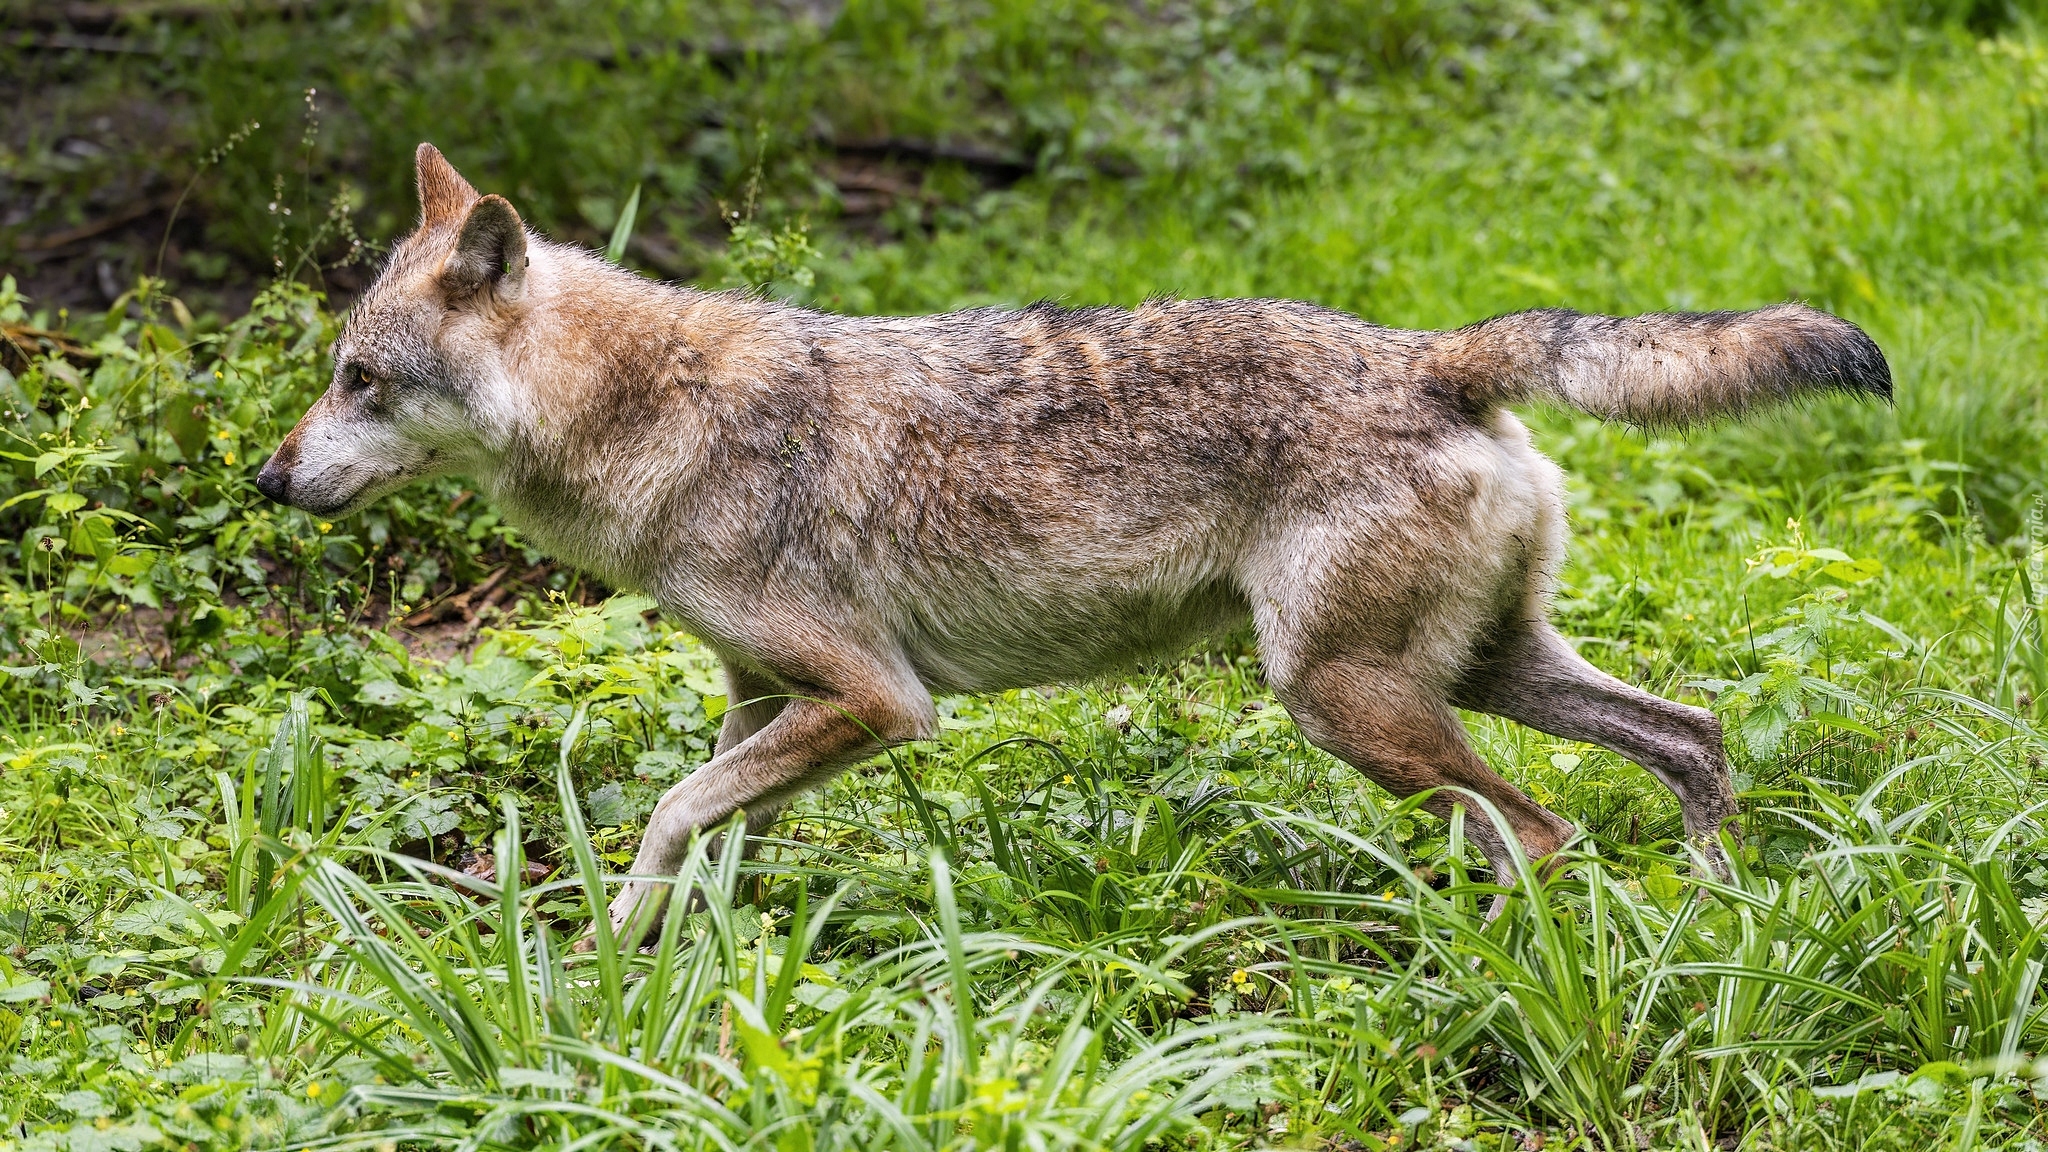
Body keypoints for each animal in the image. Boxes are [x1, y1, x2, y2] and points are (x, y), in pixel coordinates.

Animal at [256, 143, 1884, 938]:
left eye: (358, 381)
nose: (270, 479)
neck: (647, 413)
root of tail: (1436, 353)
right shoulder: (765, 704)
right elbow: (701, 832)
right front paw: (640, 987)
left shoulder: (873, 705)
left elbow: (661, 814)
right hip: (1464, 681)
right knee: (1688, 736)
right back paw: (1722, 929)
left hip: (1345, 703)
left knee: (1539, 833)